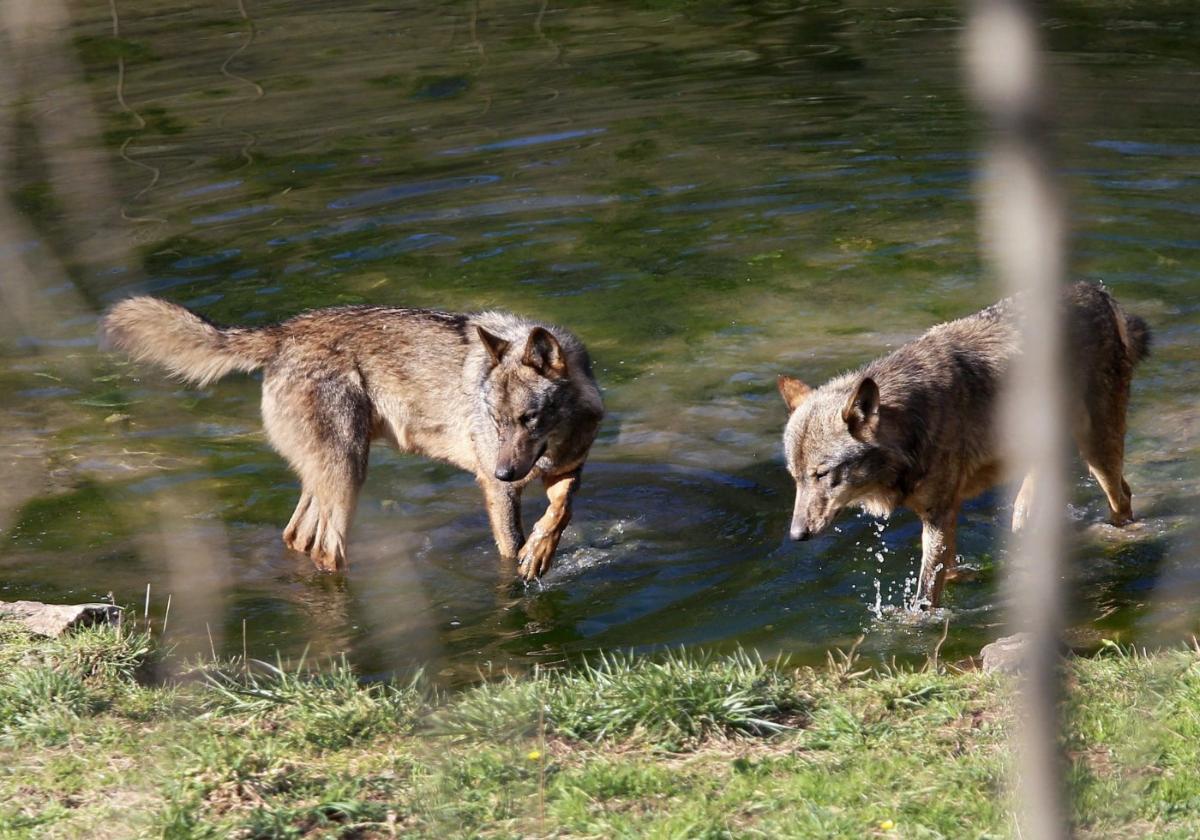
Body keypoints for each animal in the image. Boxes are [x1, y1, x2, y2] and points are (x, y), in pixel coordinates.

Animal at [99, 295, 604, 578]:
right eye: (494, 419)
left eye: (528, 418)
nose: (504, 471)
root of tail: (281, 332)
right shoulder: (495, 488)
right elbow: (508, 548)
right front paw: (523, 568)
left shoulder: (567, 469)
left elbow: (560, 512)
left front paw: (541, 552)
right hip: (348, 474)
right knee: (325, 548)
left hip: (329, 477)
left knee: (297, 537)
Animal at [777, 282, 1152, 609]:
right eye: (796, 478)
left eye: (822, 474)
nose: (795, 535)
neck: (912, 421)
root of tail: (1098, 292)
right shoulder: (946, 512)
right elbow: (948, 568)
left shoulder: (939, 514)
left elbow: (926, 593)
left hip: (1098, 451)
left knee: (1123, 496)